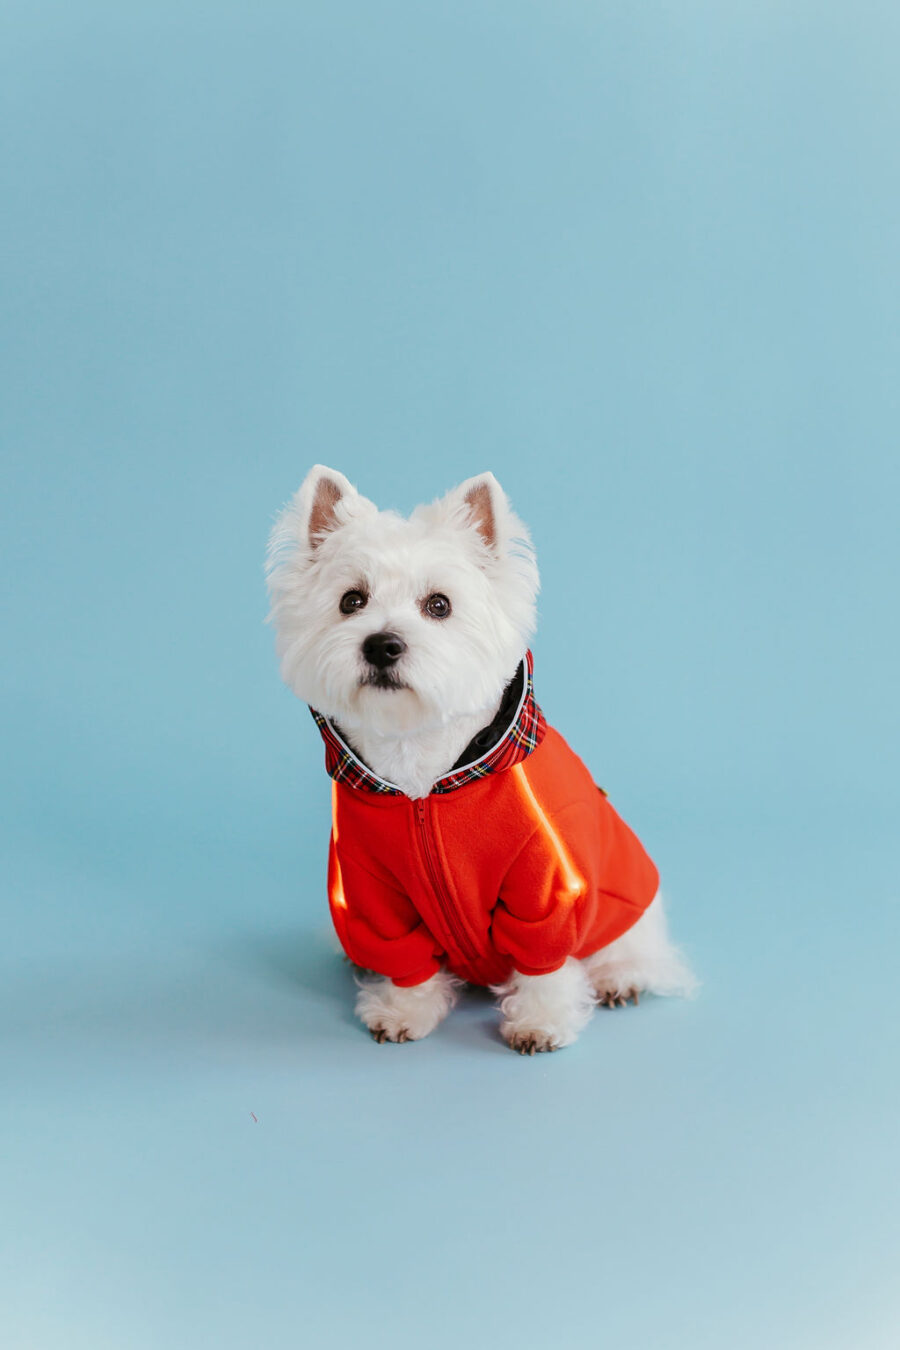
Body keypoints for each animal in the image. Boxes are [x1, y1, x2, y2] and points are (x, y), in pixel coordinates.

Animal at [264, 469, 696, 1047]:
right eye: (351, 600)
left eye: (439, 605)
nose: (382, 645)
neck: (424, 782)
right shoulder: (371, 890)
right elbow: (404, 956)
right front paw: (403, 1009)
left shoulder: (549, 884)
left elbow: (546, 959)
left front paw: (540, 1020)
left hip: (628, 896)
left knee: (634, 946)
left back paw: (620, 977)